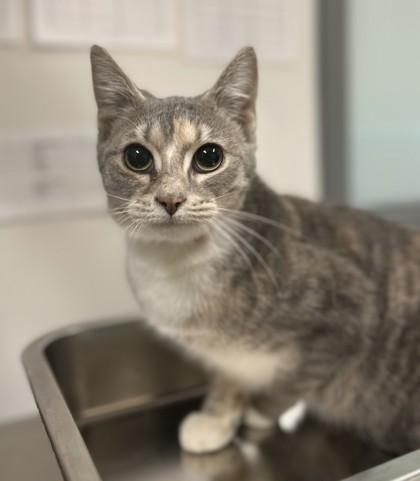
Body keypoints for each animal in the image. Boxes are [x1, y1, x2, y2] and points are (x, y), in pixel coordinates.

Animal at [90, 45, 420, 455]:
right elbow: (226, 373)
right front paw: (218, 415)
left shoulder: (352, 310)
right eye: (136, 157)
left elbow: (296, 378)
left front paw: (258, 412)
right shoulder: (219, 354)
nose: (170, 199)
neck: (178, 263)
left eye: (209, 157)